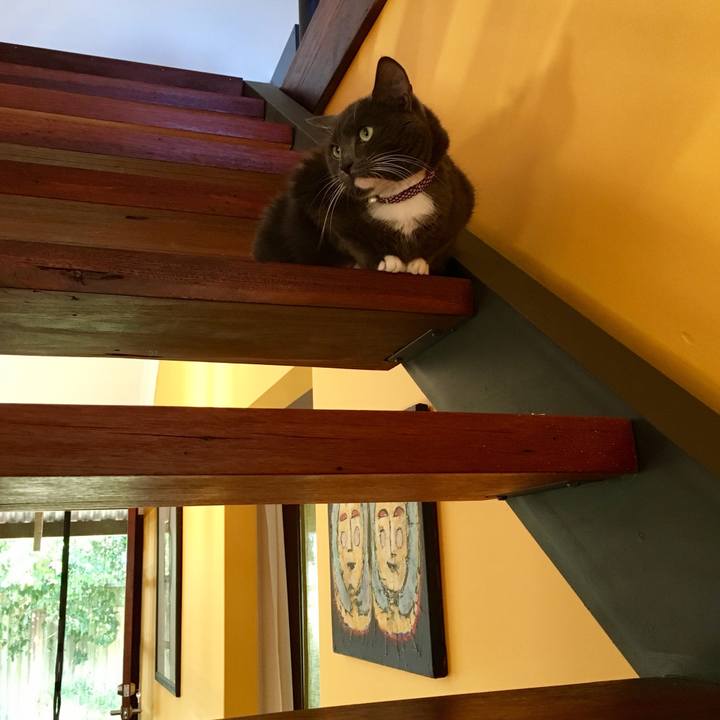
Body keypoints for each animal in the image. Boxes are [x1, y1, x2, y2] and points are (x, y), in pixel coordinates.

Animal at [252, 56, 474, 275]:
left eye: (365, 133)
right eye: (336, 150)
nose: (345, 166)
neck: (397, 194)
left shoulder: (461, 202)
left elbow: (440, 244)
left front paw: (418, 263)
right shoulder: (313, 192)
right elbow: (349, 239)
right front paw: (385, 260)